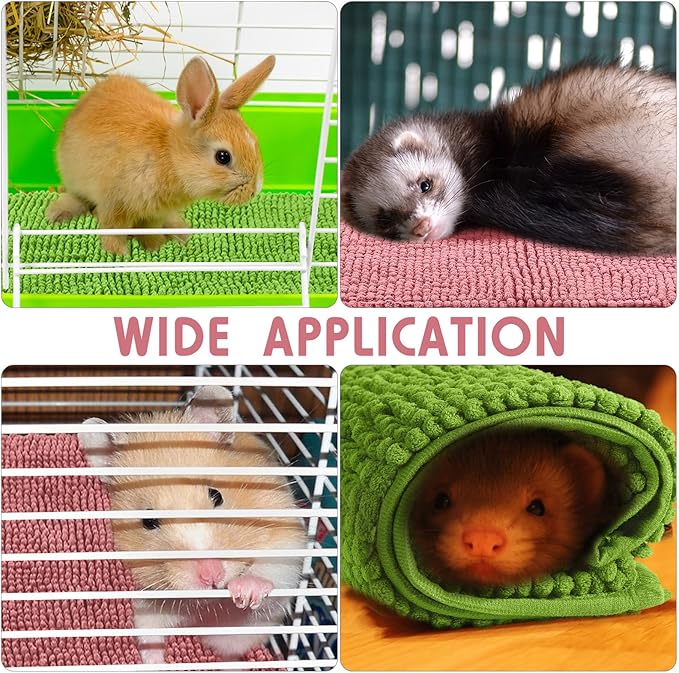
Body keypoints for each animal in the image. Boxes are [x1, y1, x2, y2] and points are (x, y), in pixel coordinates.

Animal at [46, 55, 276, 256]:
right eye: (223, 157)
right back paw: (57, 214)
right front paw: (120, 254)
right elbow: (113, 230)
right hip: (75, 178)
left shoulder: (154, 214)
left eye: (255, 143)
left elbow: (150, 230)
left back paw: (180, 232)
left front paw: (154, 247)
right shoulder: (115, 204)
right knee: (78, 198)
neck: (171, 158)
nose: (255, 190)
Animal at [78, 386, 305, 665]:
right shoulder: (147, 597)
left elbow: (272, 567)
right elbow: (148, 630)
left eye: (217, 496)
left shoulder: (286, 532)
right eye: (148, 522)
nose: (212, 576)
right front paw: (154, 661)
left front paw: (245, 592)